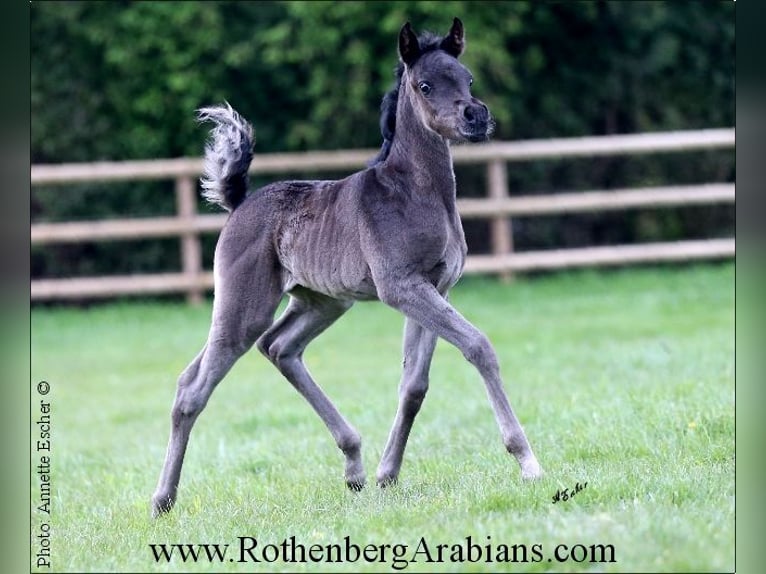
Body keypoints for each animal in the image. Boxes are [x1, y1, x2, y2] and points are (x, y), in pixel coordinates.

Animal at [152, 18, 540, 520]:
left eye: (468, 78)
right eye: (425, 84)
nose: (475, 116)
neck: (416, 193)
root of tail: (240, 203)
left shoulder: (437, 287)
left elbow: (414, 384)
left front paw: (387, 474)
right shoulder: (403, 288)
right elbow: (478, 346)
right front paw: (527, 461)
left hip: (322, 303)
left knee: (277, 348)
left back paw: (354, 465)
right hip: (243, 306)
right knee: (193, 388)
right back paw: (162, 500)